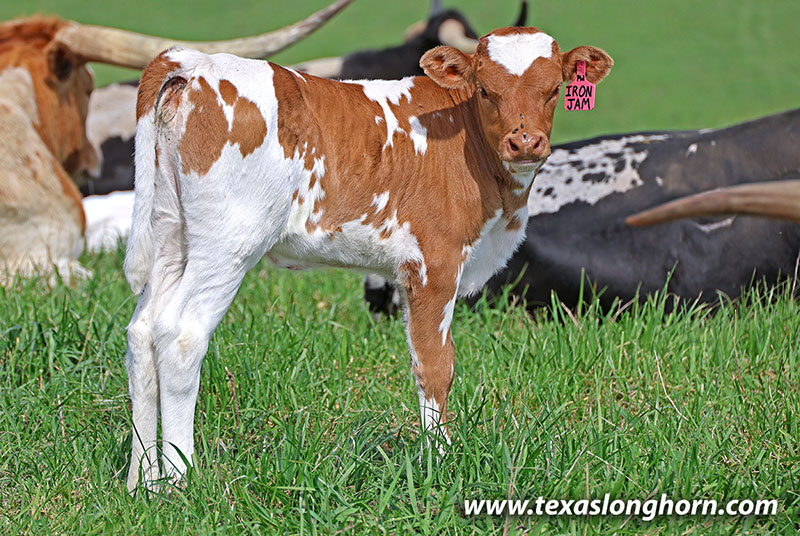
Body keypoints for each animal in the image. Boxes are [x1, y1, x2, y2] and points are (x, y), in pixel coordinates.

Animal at [122, 27, 614, 490]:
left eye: (554, 88)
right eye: (486, 90)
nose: (525, 142)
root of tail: (193, 62)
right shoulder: (433, 264)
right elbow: (435, 365)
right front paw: (440, 462)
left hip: (171, 236)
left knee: (143, 333)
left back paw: (144, 481)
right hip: (227, 244)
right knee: (181, 335)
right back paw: (180, 480)